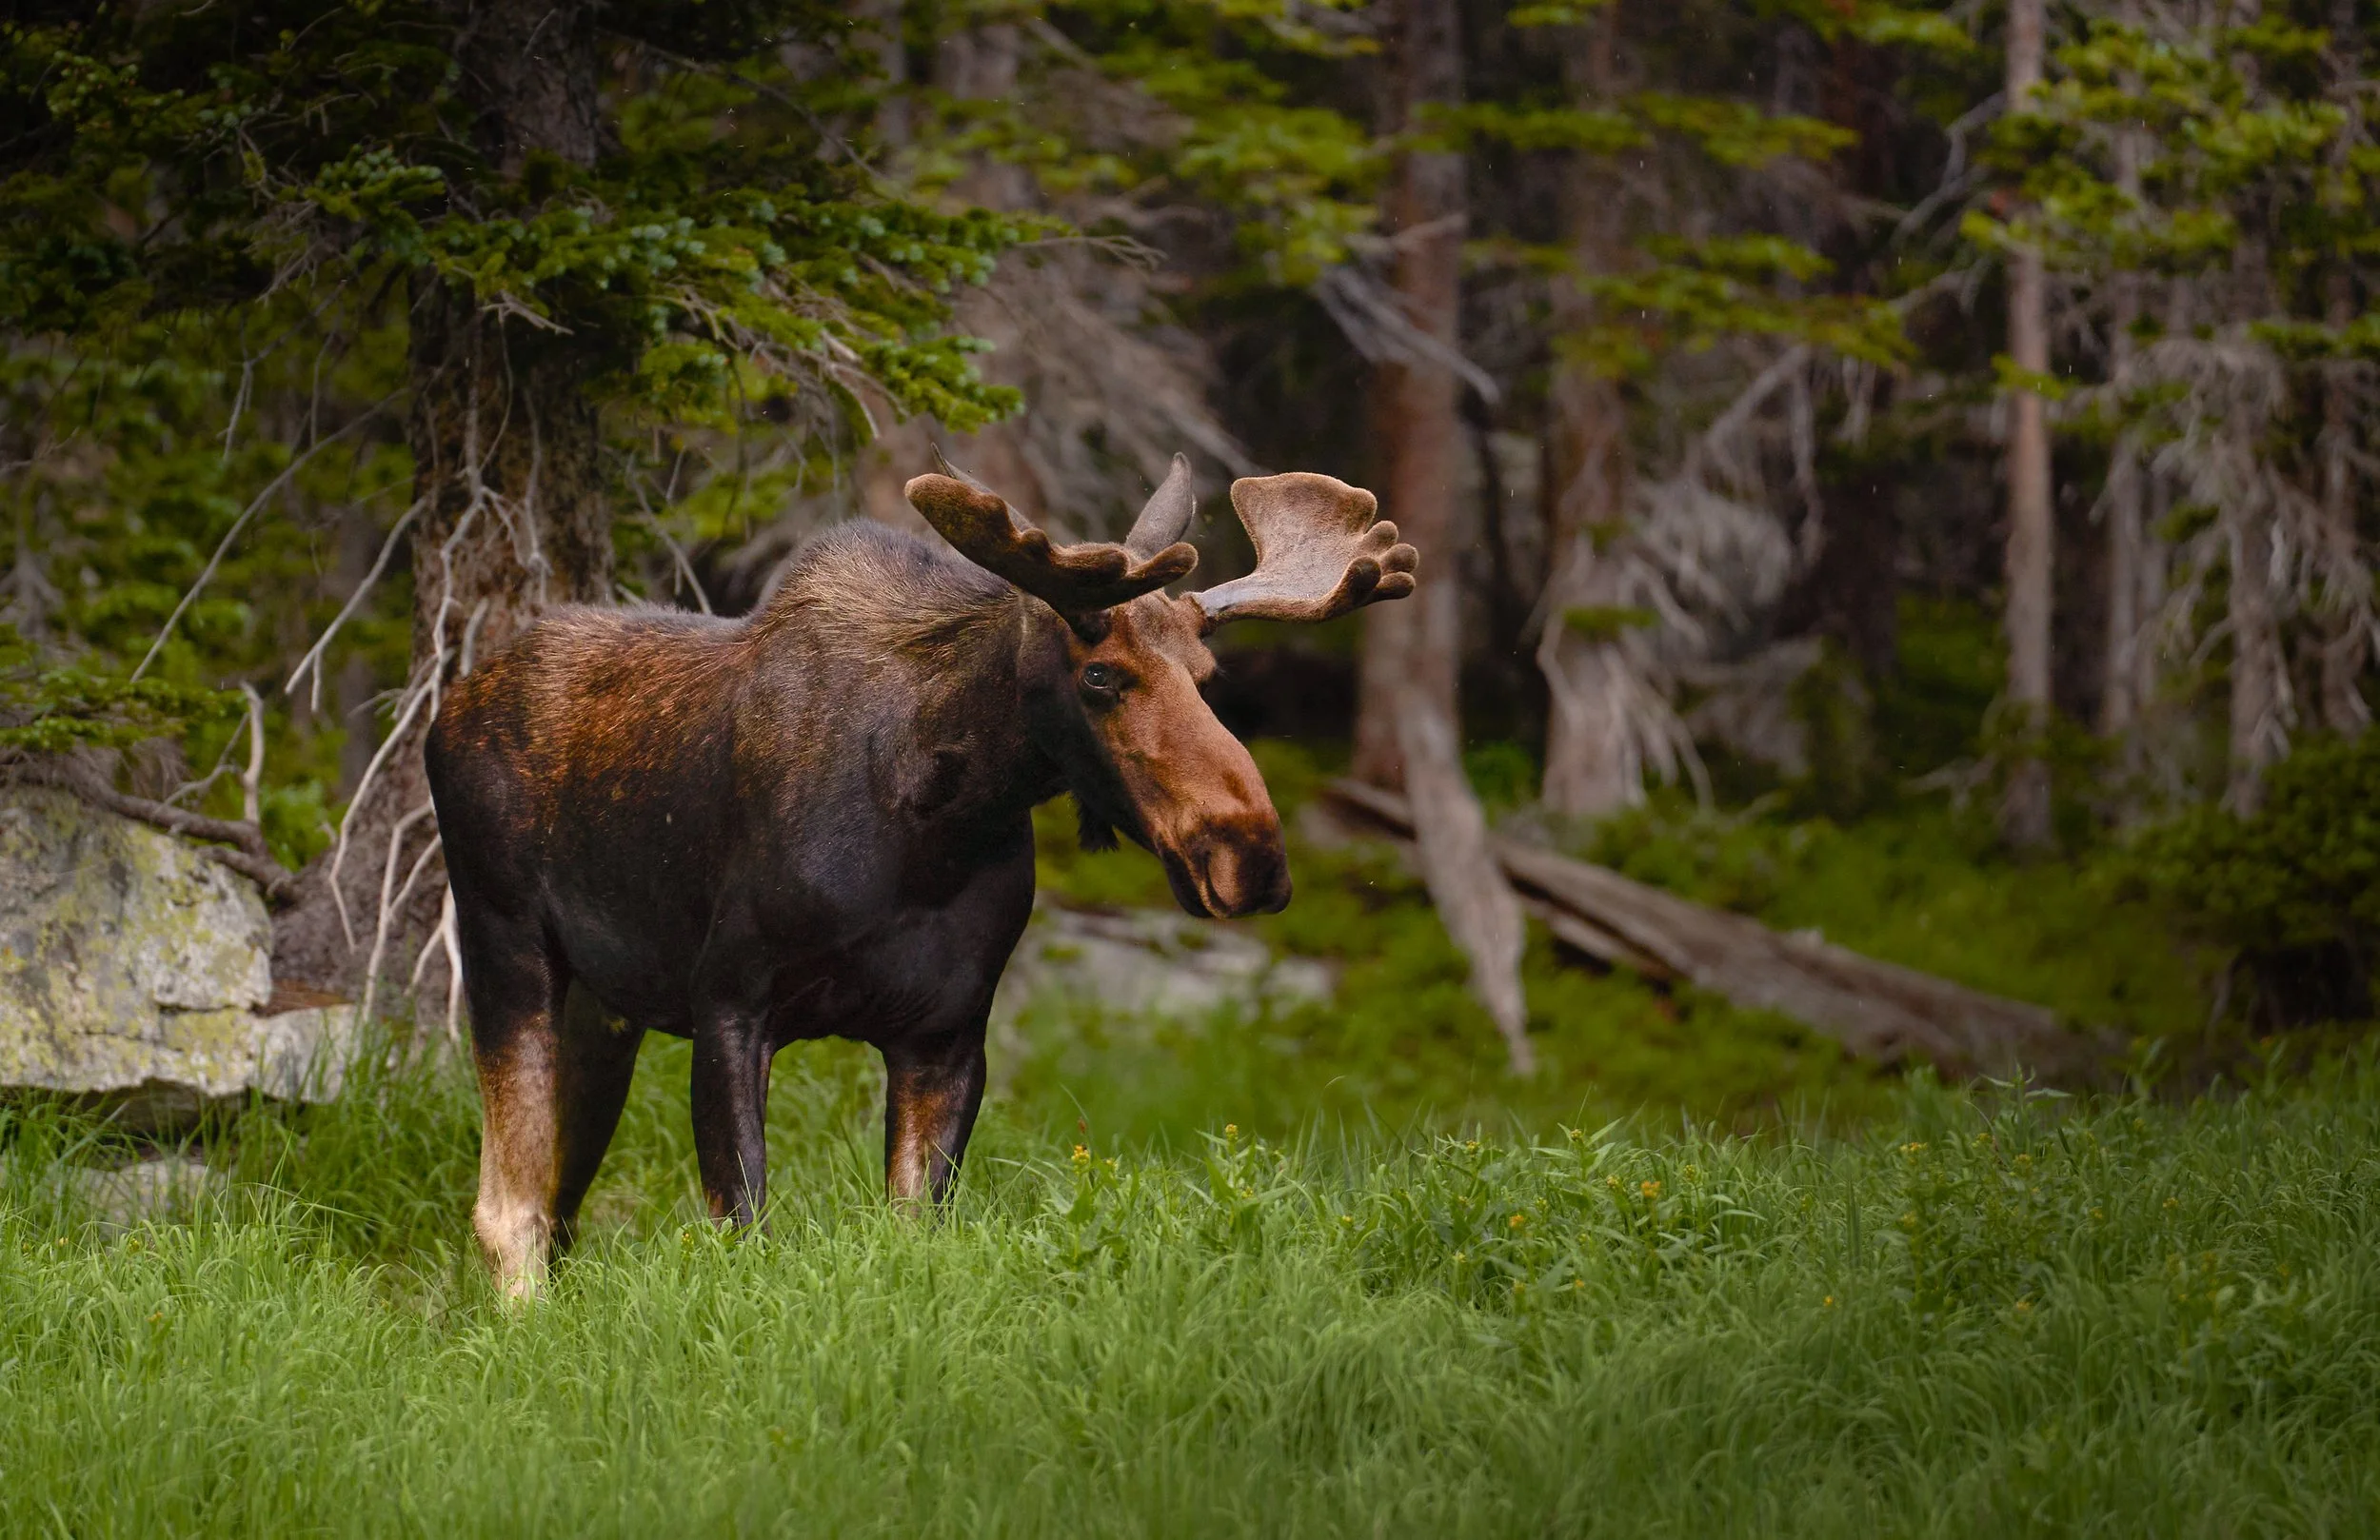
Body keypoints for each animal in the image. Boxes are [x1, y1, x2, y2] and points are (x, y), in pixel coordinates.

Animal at [424, 456, 1418, 1293]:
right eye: (1100, 677)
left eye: (1208, 675)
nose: (1251, 856)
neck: (937, 831)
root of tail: (450, 706)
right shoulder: (730, 1003)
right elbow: (744, 1227)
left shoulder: (945, 1033)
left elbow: (914, 1230)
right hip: (504, 939)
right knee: (508, 1209)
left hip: (608, 1008)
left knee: (561, 1201)